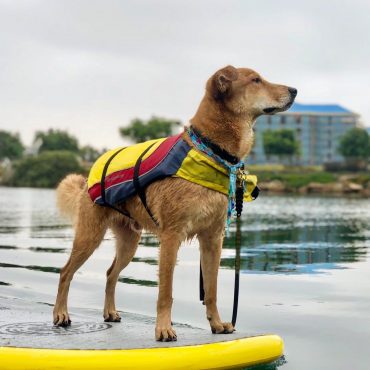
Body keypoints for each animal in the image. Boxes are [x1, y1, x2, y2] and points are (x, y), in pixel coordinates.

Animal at [53, 66, 296, 342]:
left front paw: (217, 324)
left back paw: (110, 312)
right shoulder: (171, 236)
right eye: (256, 80)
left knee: (110, 273)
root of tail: (88, 176)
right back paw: (60, 314)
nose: (294, 90)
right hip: (89, 236)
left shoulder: (213, 239)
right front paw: (163, 328)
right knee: (65, 272)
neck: (210, 150)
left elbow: (211, 290)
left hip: (129, 242)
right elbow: (165, 292)